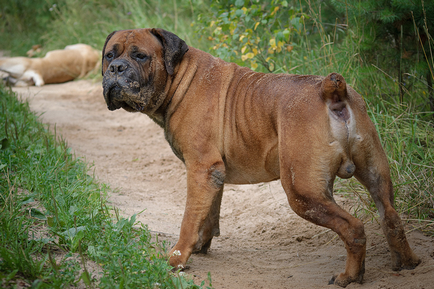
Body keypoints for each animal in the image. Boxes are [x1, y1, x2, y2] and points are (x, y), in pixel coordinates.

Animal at [101, 27, 420, 286]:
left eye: (140, 56)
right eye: (108, 56)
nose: (116, 68)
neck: (179, 78)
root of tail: (331, 89)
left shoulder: (200, 169)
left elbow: (190, 218)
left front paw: (178, 257)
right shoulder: (212, 173)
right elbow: (209, 214)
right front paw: (202, 246)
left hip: (303, 192)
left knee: (353, 227)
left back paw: (350, 276)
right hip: (376, 173)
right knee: (391, 217)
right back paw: (407, 262)